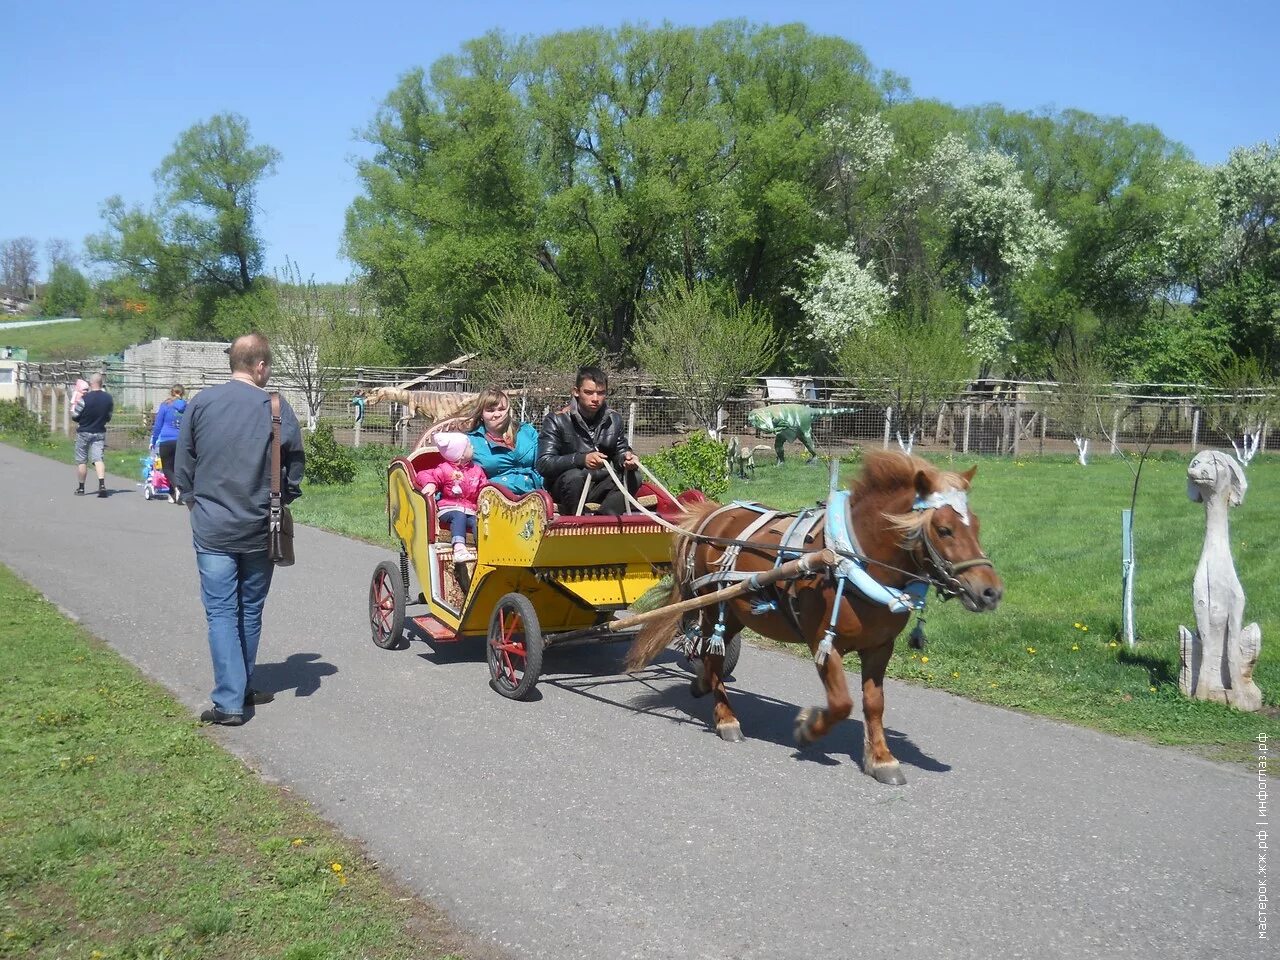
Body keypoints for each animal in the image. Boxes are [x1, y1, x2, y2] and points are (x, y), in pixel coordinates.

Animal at [624, 455, 1003, 783]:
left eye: (976, 524)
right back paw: (726, 719)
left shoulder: (880, 647)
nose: (991, 592)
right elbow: (841, 703)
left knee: (710, 652)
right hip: (712, 604)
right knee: (712, 653)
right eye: (944, 529)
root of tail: (712, 514)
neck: (849, 559)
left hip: (734, 611)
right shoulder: (823, 641)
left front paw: (881, 759)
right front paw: (808, 728)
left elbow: (874, 704)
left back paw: (702, 684)